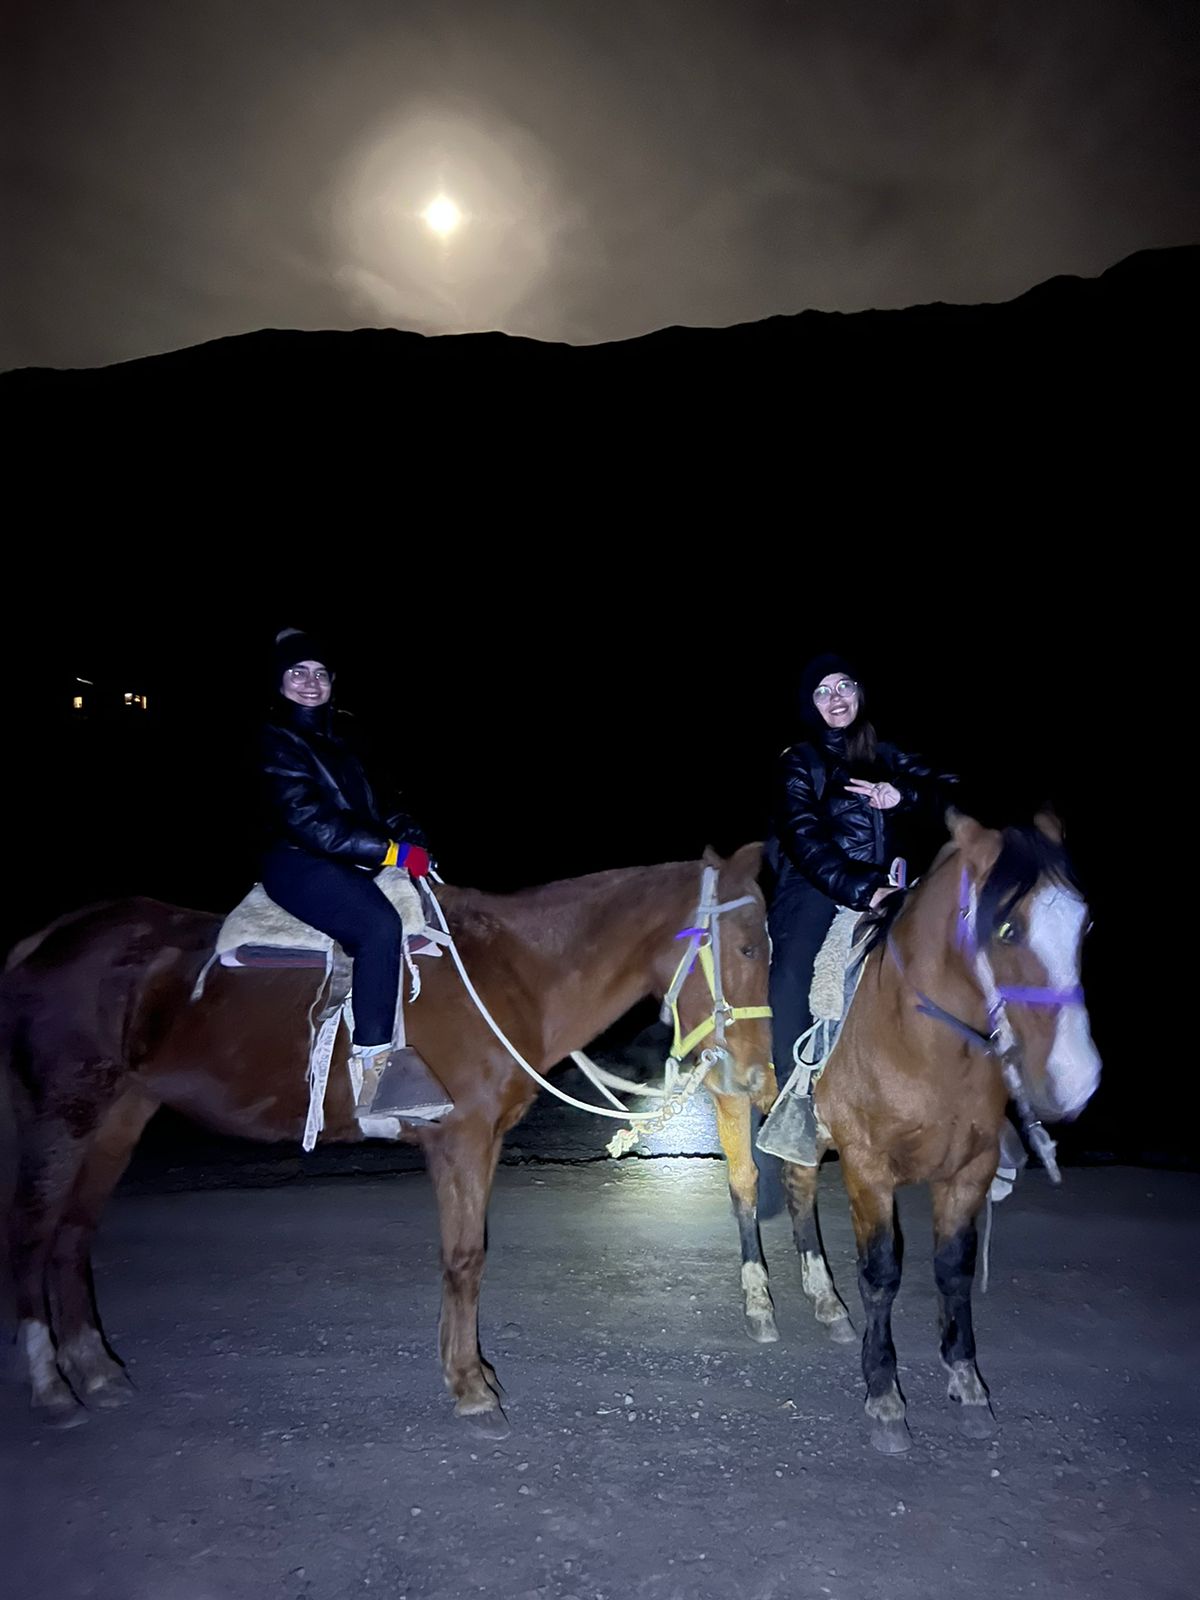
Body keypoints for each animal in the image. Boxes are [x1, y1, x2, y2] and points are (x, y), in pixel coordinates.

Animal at [0, 844, 774, 1433]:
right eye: (744, 946)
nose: (760, 1080)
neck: (515, 973)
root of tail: (45, 942)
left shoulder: (480, 1143)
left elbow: (466, 1255)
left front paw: (467, 1370)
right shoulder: (460, 1140)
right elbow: (464, 1259)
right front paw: (471, 1387)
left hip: (119, 1117)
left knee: (71, 1236)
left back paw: (98, 1371)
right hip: (63, 1114)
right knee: (33, 1235)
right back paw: (51, 1385)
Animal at [784, 812, 1107, 1452]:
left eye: (1084, 924)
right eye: (1007, 928)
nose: (1076, 1077)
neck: (923, 1045)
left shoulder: (970, 1170)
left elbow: (952, 1269)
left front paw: (966, 1381)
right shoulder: (867, 1168)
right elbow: (881, 1274)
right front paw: (884, 1396)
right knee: (789, 1189)